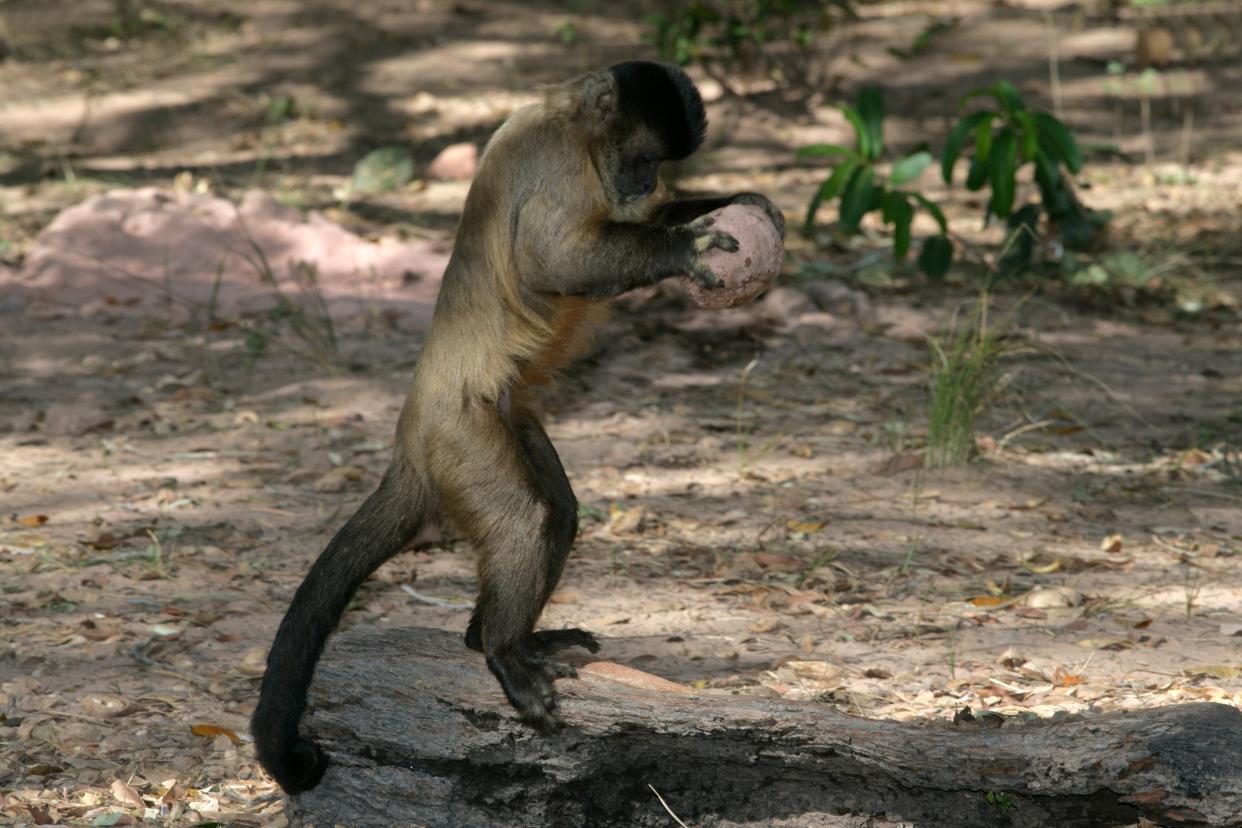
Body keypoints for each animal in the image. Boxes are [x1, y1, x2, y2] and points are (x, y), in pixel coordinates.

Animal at [247, 61, 779, 794]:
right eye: (643, 160)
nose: (646, 183)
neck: (572, 122)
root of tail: (411, 433)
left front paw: (737, 198)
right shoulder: (559, 162)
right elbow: (555, 262)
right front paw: (682, 247)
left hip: (506, 417)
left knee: (558, 511)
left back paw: (500, 639)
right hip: (459, 435)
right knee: (526, 518)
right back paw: (502, 654)